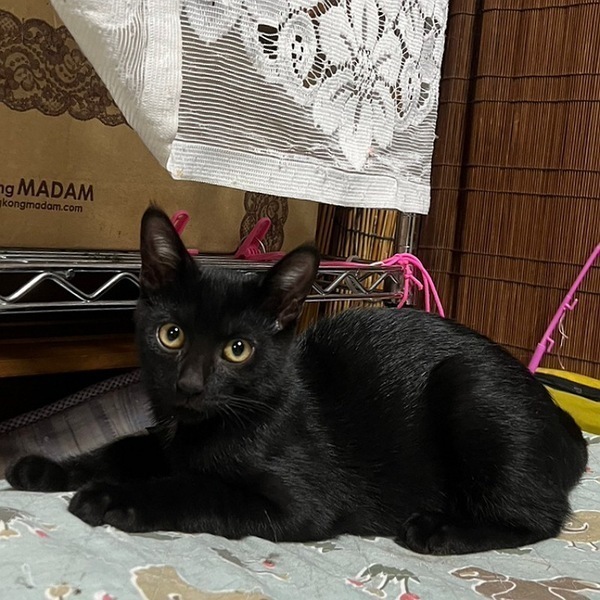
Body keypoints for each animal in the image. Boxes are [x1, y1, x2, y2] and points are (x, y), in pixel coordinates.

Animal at [6, 207, 588, 555]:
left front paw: (112, 498)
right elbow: (121, 447)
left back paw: (438, 528)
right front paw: (49, 467)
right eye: (171, 335)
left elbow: (197, 488)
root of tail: (561, 421)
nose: (190, 385)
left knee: (543, 518)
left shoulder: (299, 504)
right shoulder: (162, 438)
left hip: (468, 385)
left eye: (237, 349)